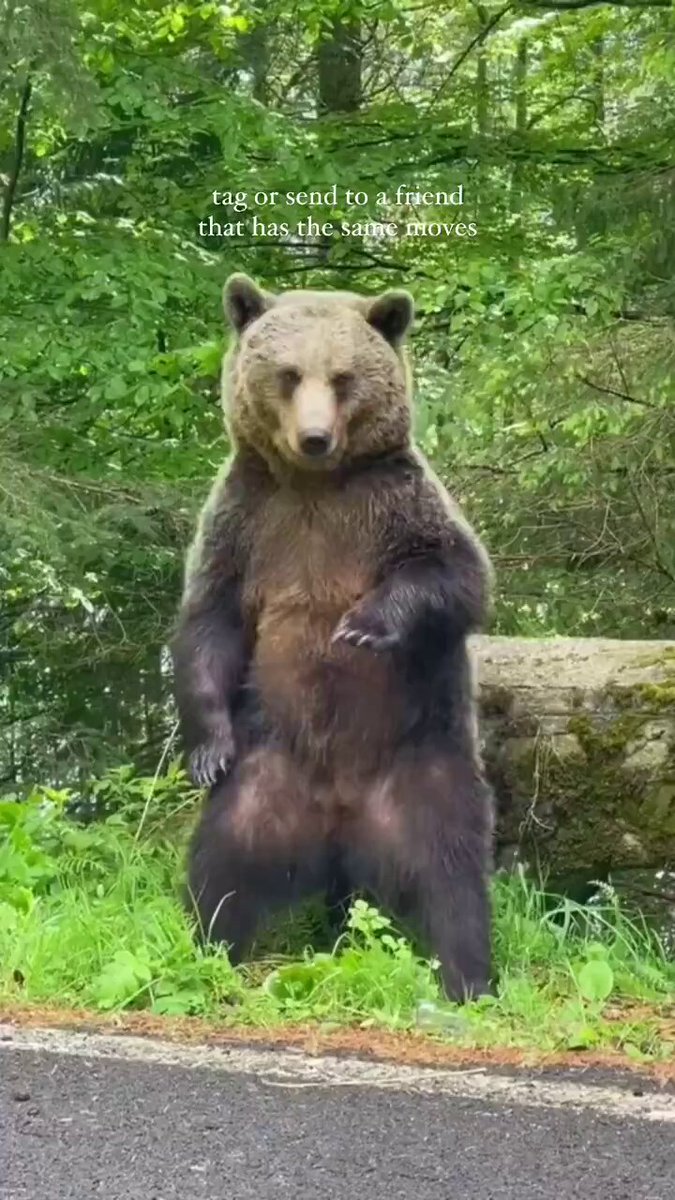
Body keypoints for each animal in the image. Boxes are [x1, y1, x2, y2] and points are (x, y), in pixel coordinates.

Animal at [171, 273, 495, 1002]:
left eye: (343, 376)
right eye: (288, 373)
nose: (314, 437)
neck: (316, 487)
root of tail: (340, 827)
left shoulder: (393, 504)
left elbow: (456, 575)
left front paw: (362, 624)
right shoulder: (248, 522)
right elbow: (210, 620)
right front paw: (206, 747)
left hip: (421, 767)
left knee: (452, 877)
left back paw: (470, 978)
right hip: (267, 775)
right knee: (222, 864)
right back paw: (211, 951)